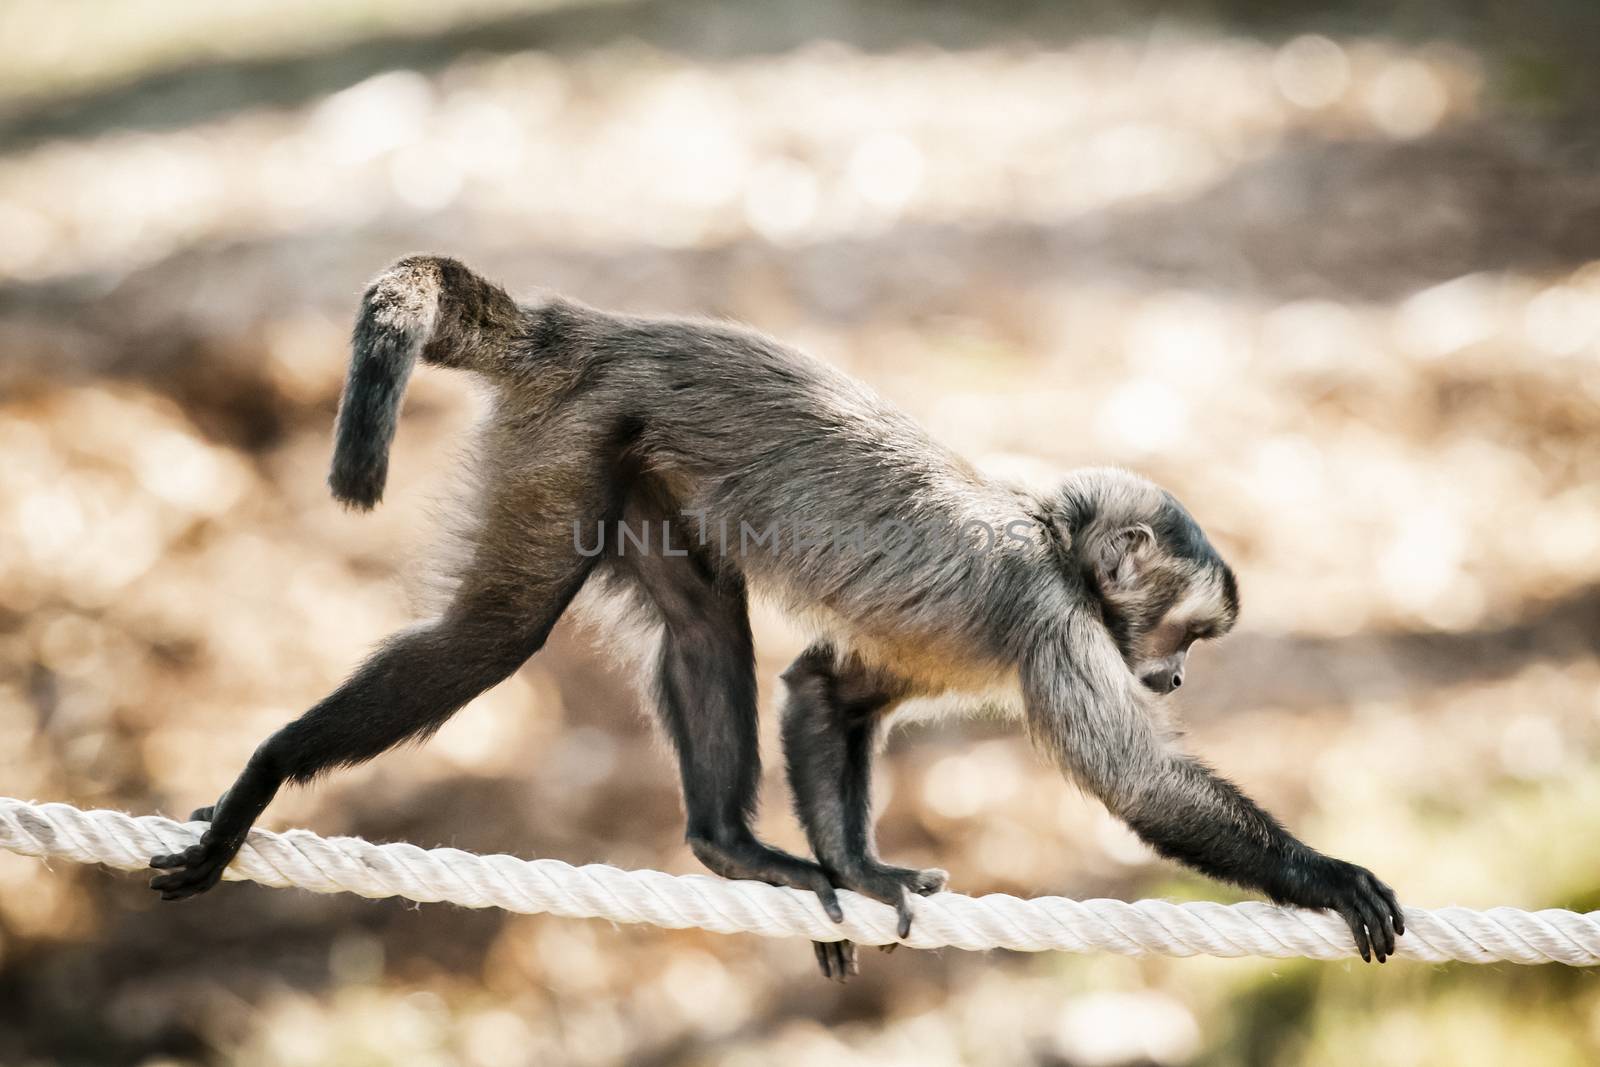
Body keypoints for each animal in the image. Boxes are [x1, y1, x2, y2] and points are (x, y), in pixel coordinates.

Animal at [150, 254, 1401, 979]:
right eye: (1183, 638)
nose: (1175, 680)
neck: (1052, 536)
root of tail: (591, 328)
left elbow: (820, 690)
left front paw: (857, 866)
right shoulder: (1051, 618)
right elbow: (1140, 787)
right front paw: (1325, 872)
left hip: (628, 453)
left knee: (704, 620)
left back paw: (732, 845)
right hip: (574, 430)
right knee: (495, 634)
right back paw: (269, 769)